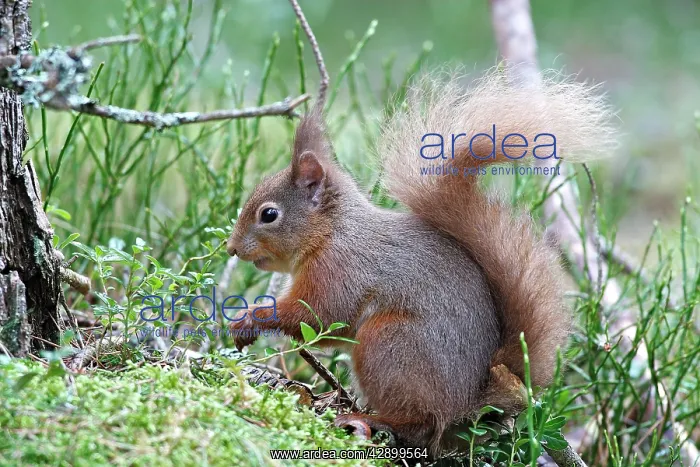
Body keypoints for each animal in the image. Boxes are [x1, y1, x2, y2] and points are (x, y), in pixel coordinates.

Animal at [226, 69, 615, 456]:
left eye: (269, 214)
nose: (231, 249)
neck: (332, 232)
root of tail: (471, 404)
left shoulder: (341, 269)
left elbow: (320, 316)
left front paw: (250, 318)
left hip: (389, 343)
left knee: (421, 424)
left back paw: (368, 420)